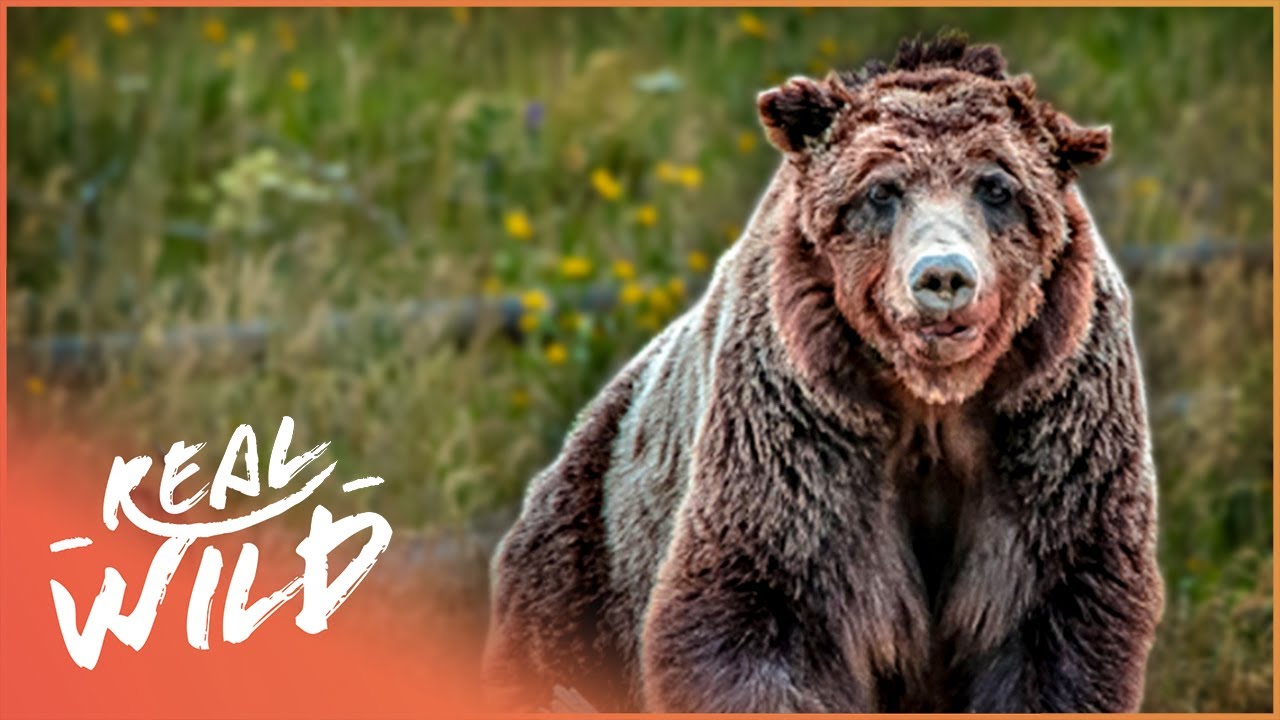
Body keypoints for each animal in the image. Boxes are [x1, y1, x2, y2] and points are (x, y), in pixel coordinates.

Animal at [482, 34, 1163, 713]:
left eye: (996, 187)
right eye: (883, 190)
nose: (943, 275)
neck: (933, 398)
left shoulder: (1051, 434)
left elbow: (1049, 628)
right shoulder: (804, 434)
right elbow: (767, 612)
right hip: (584, 570)